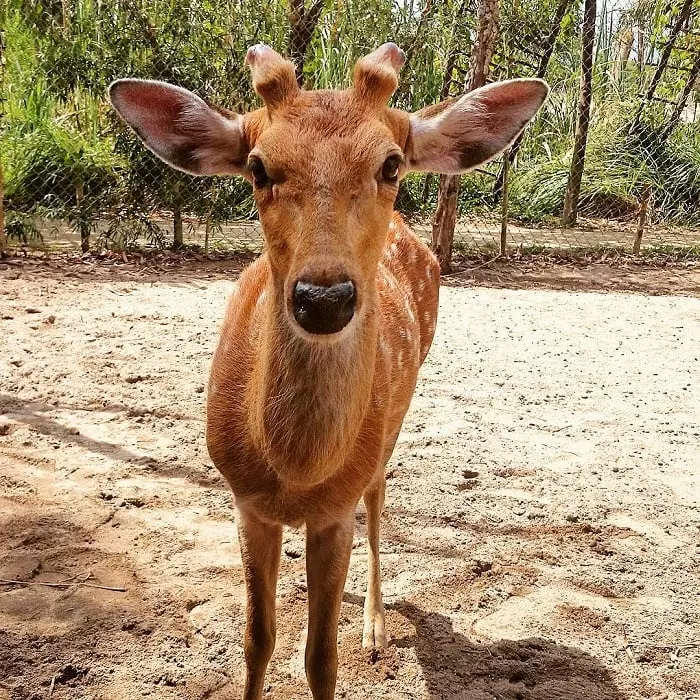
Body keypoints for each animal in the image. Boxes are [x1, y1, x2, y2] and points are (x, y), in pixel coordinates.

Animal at [109, 43, 548, 700]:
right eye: (258, 167)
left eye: (390, 164)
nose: (324, 298)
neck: (294, 471)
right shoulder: (245, 503)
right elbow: (256, 640)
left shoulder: (335, 511)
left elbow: (322, 656)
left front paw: (350, 640)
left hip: (392, 426)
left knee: (380, 498)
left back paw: (375, 626)